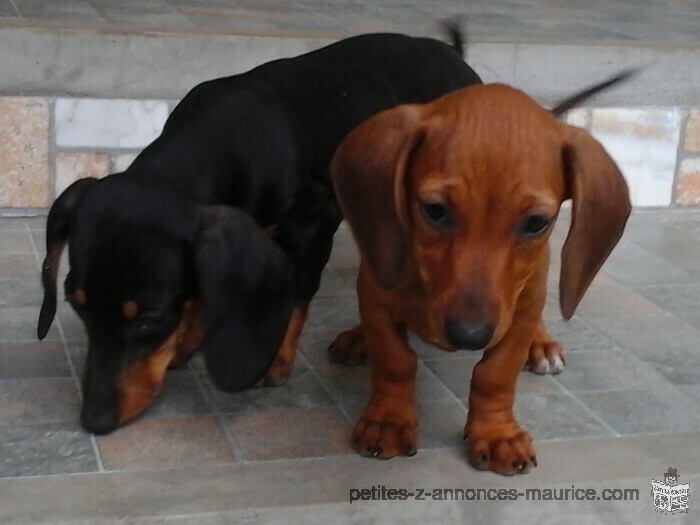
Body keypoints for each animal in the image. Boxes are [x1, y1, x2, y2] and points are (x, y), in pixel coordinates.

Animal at [37, 26, 482, 432]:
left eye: (149, 317)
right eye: (76, 303)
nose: (94, 420)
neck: (227, 137)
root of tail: (455, 56)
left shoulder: (316, 219)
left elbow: (298, 295)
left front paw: (275, 361)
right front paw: (187, 340)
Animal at [330, 78, 632, 474]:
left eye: (536, 223)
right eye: (434, 210)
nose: (469, 336)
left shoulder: (518, 315)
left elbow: (495, 374)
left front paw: (497, 433)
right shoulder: (376, 293)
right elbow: (395, 361)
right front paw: (388, 421)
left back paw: (541, 345)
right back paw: (357, 338)